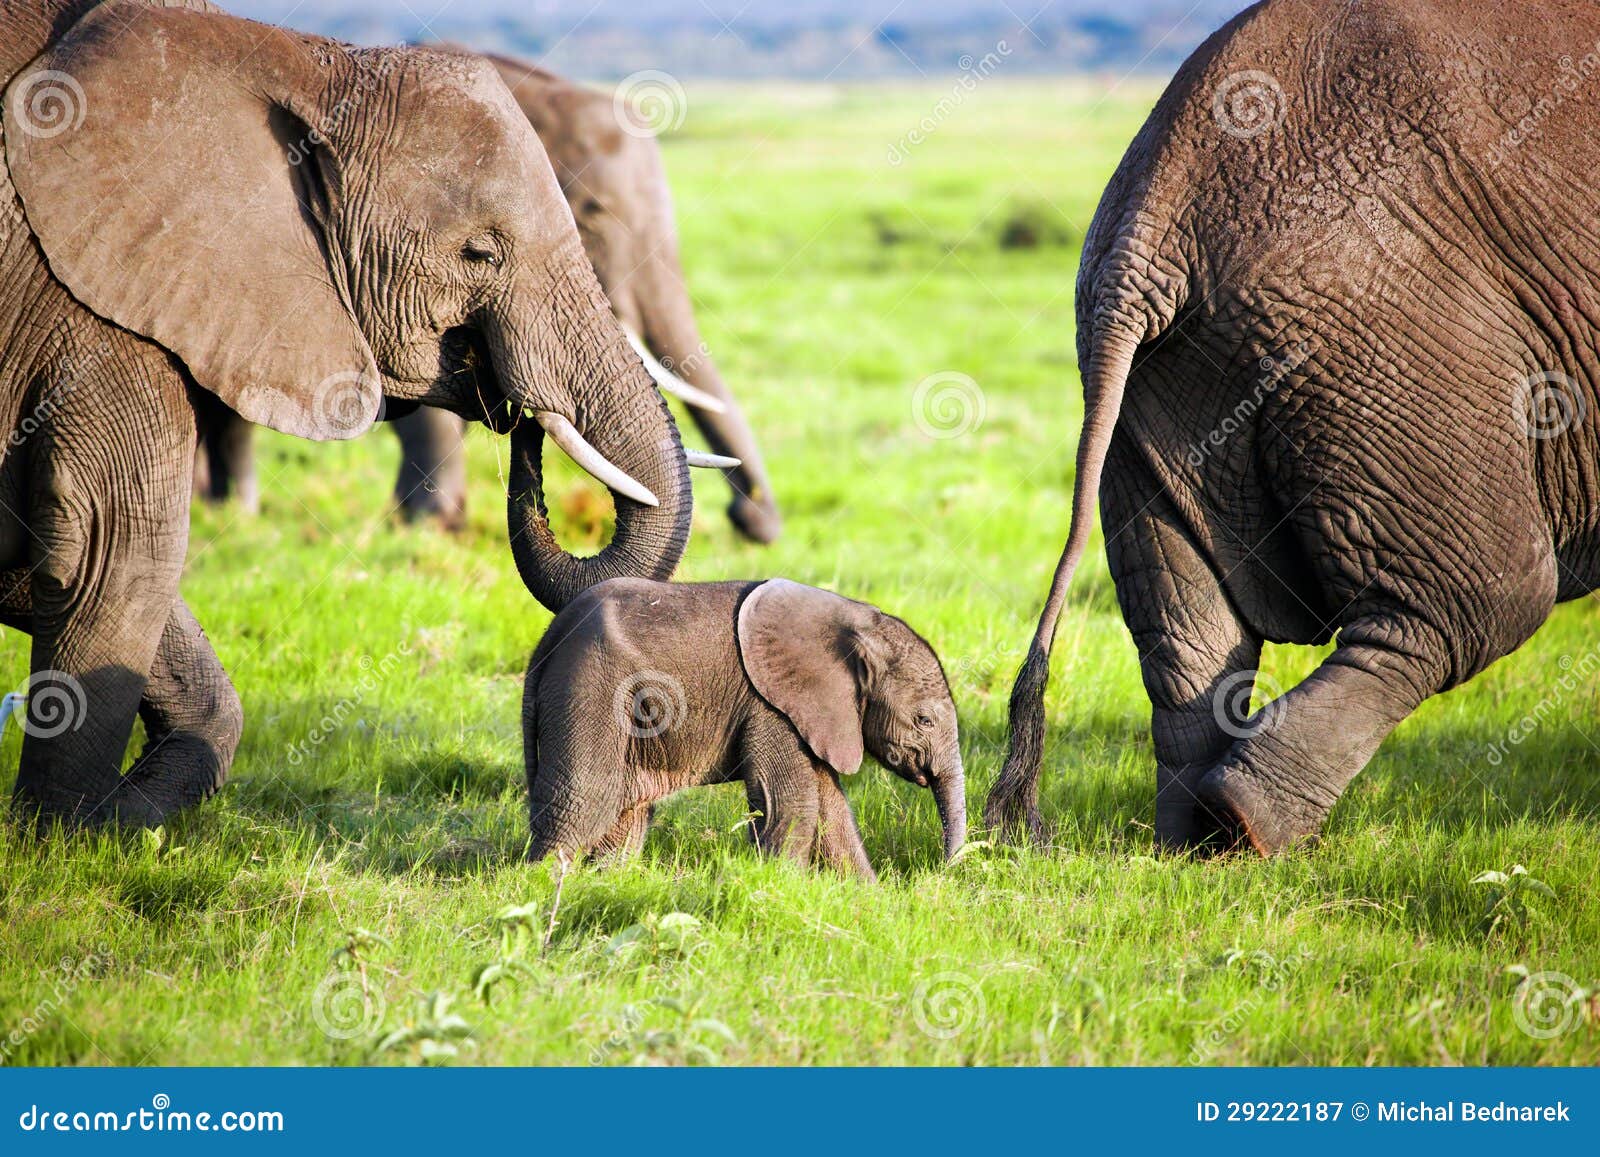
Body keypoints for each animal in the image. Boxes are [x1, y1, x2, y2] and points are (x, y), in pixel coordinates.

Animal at [3, 4, 697, 825]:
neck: (300, 62)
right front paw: (67, 835)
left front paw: (118, 819)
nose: (525, 419)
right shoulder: (85, 298)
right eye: (479, 253)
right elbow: (115, 543)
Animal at [531, 579, 966, 876]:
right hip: (591, 688)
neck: (855, 620)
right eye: (924, 720)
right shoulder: (771, 706)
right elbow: (792, 802)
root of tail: (551, 635)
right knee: (585, 800)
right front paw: (784, 886)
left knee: (625, 814)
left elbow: (832, 808)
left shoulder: (811, 714)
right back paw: (544, 883)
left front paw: (868, 901)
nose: (940, 872)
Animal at [985, 0, 1600, 851]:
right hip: (1387, 340)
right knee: (1474, 602)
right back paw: (1248, 825)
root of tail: (1152, 219)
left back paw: (1193, 843)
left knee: (1188, 635)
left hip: (1153, 384)